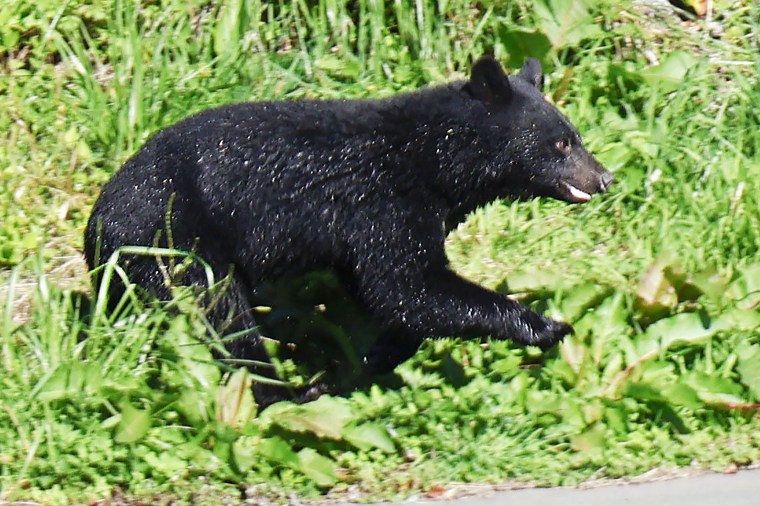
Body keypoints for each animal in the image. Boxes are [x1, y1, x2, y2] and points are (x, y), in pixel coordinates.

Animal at [84, 56, 613, 405]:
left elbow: (386, 297)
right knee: (223, 314)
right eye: (562, 143)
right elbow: (406, 286)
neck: (434, 159)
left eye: (575, 136)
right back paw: (283, 393)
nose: (604, 177)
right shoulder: (384, 202)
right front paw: (547, 325)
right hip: (173, 241)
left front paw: (361, 364)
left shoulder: (360, 233)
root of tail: (96, 227)